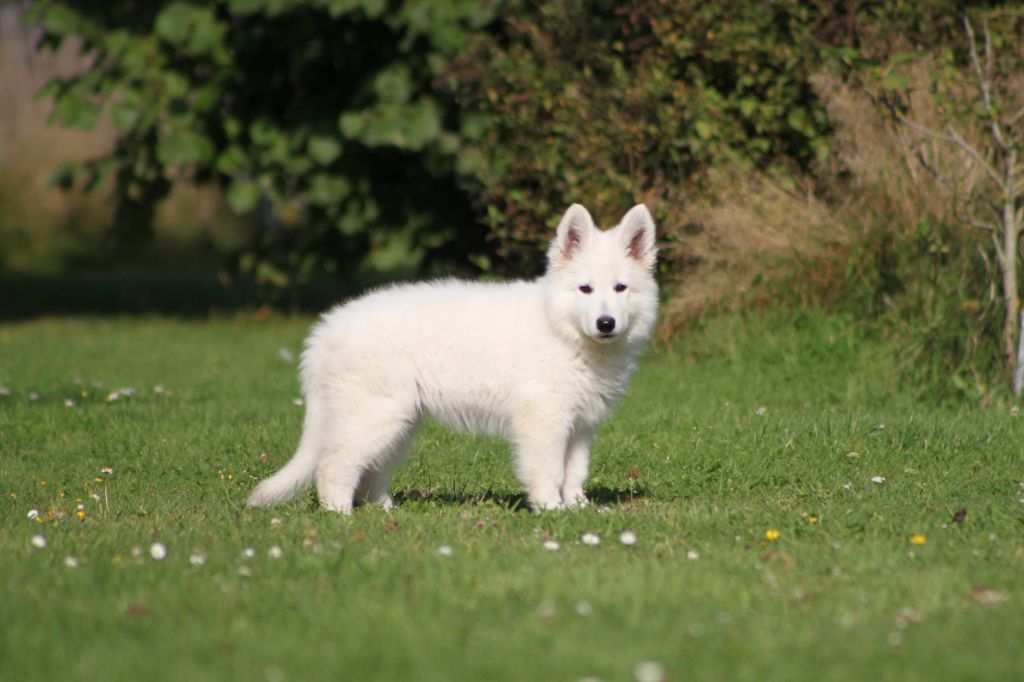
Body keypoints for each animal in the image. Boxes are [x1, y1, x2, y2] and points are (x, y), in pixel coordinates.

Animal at [251, 201, 659, 509]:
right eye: (585, 289)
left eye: (620, 288)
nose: (606, 323)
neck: (563, 329)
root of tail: (327, 330)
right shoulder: (544, 418)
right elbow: (548, 469)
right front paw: (551, 510)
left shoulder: (580, 423)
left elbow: (574, 471)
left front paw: (578, 508)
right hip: (375, 414)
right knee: (334, 464)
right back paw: (340, 515)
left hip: (400, 422)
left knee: (371, 472)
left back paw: (385, 510)